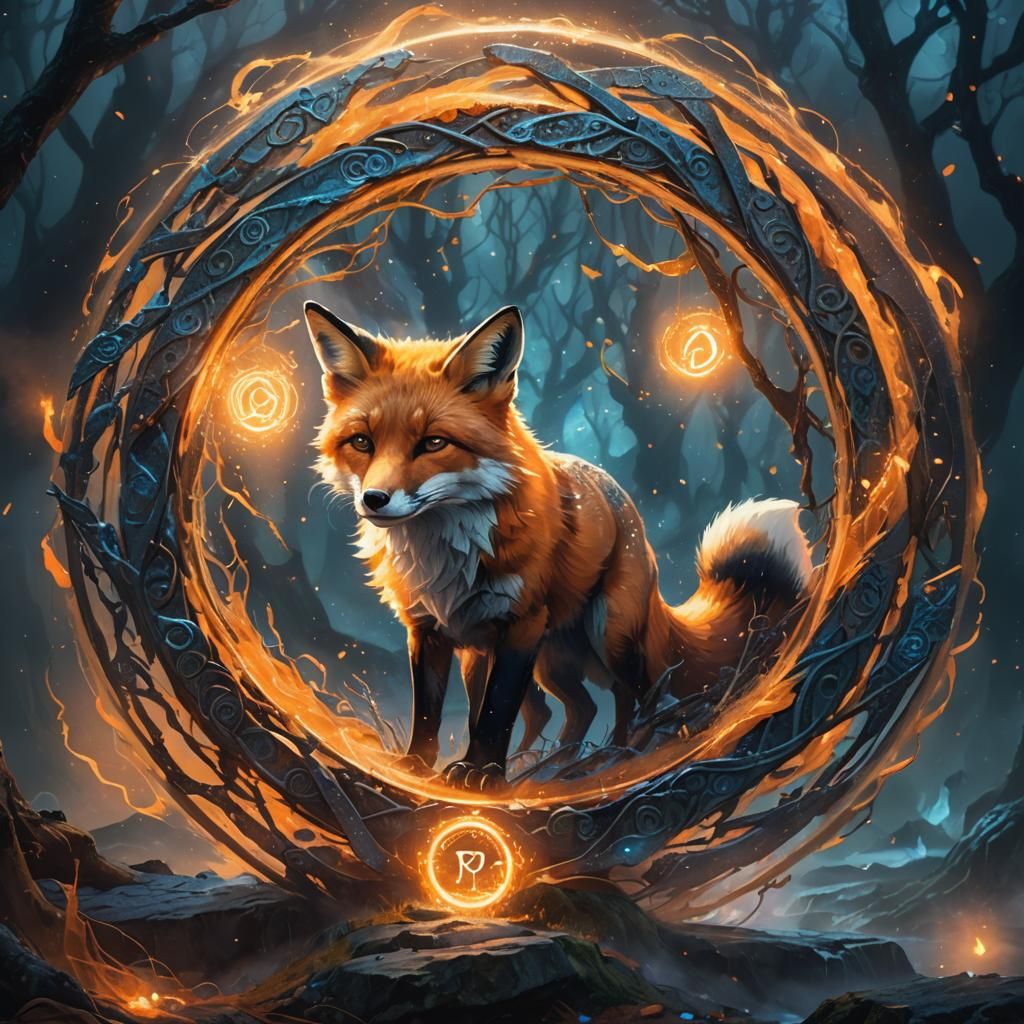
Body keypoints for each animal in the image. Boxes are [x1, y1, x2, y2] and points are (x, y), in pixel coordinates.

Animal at [306, 301, 813, 788]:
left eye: (433, 443)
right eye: (362, 442)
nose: (374, 499)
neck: (446, 558)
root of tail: (628, 508)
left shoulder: (521, 625)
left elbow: (495, 712)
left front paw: (483, 777)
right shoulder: (428, 629)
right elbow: (432, 712)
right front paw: (417, 769)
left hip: (609, 637)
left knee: (641, 695)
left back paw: (618, 757)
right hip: (529, 661)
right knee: (572, 708)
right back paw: (546, 765)